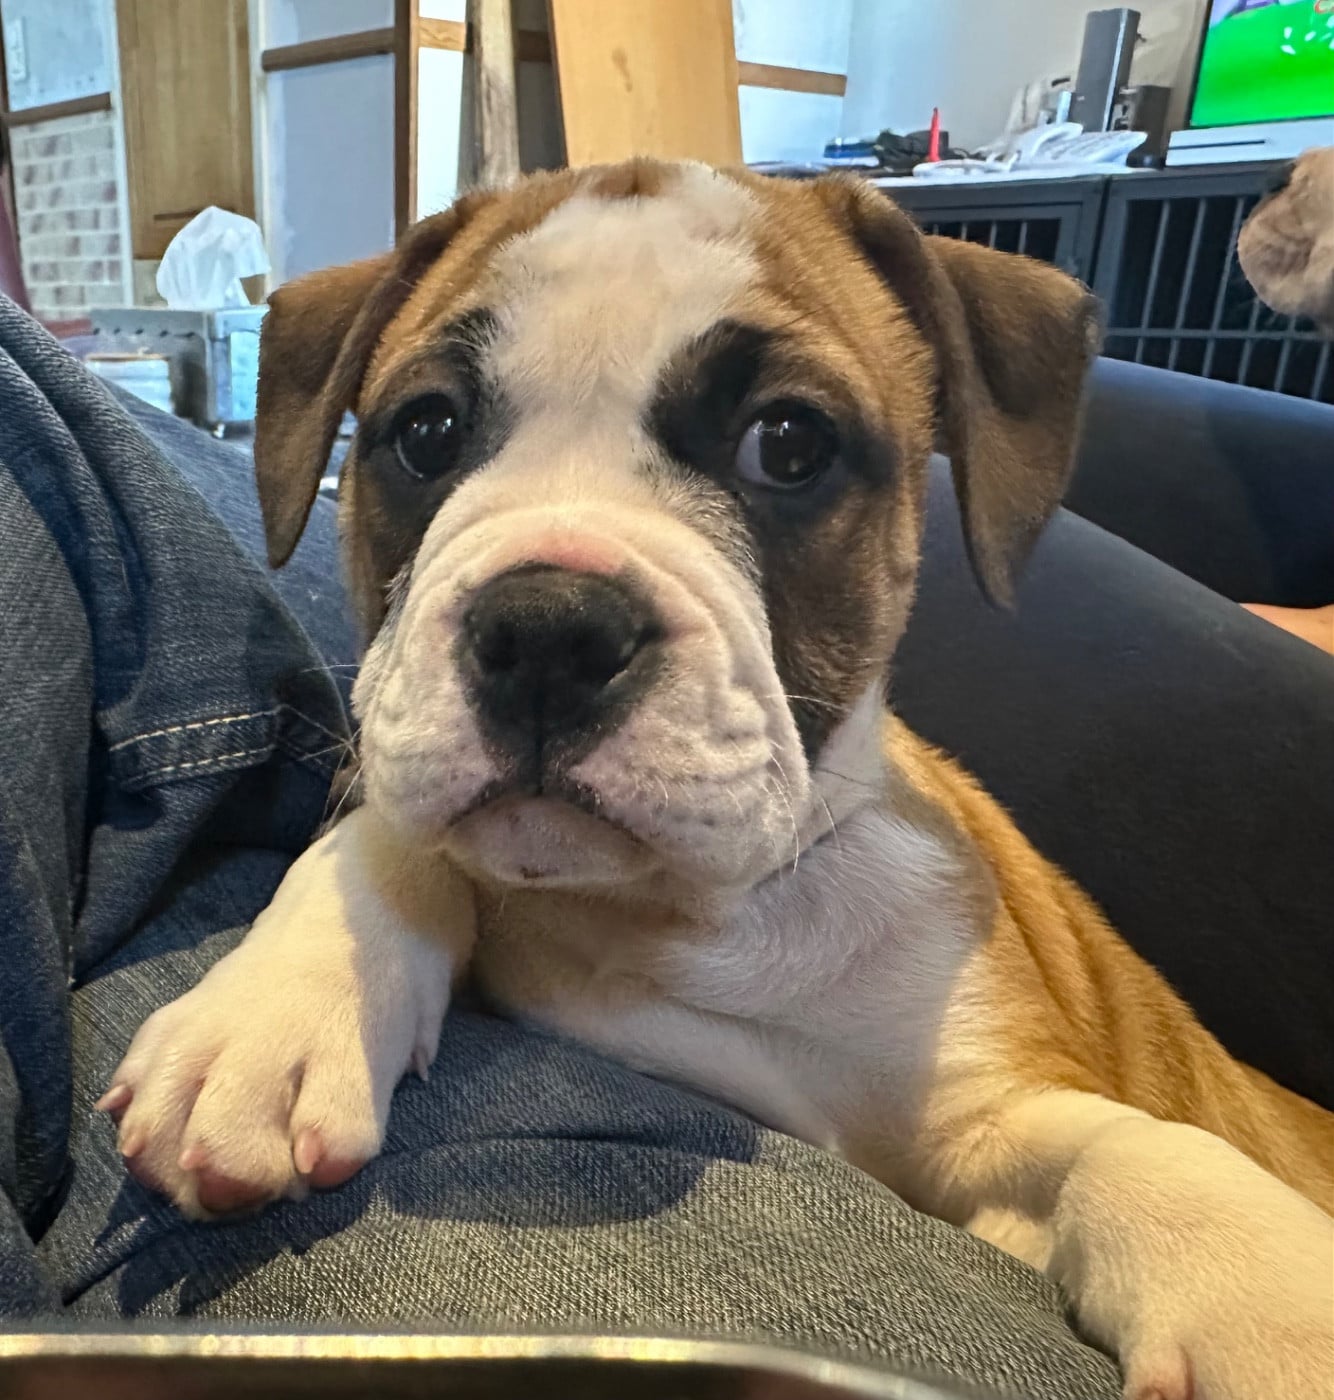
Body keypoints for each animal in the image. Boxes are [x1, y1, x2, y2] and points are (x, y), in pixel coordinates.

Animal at [100, 163, 1334, 1400]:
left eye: (785, 443)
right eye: (426, 432)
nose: (546, 629)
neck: (698, 911)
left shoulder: (989, 1117)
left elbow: (1140, 1145)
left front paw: (1266, 1307)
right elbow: (386, 827)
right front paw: (276, 1008)